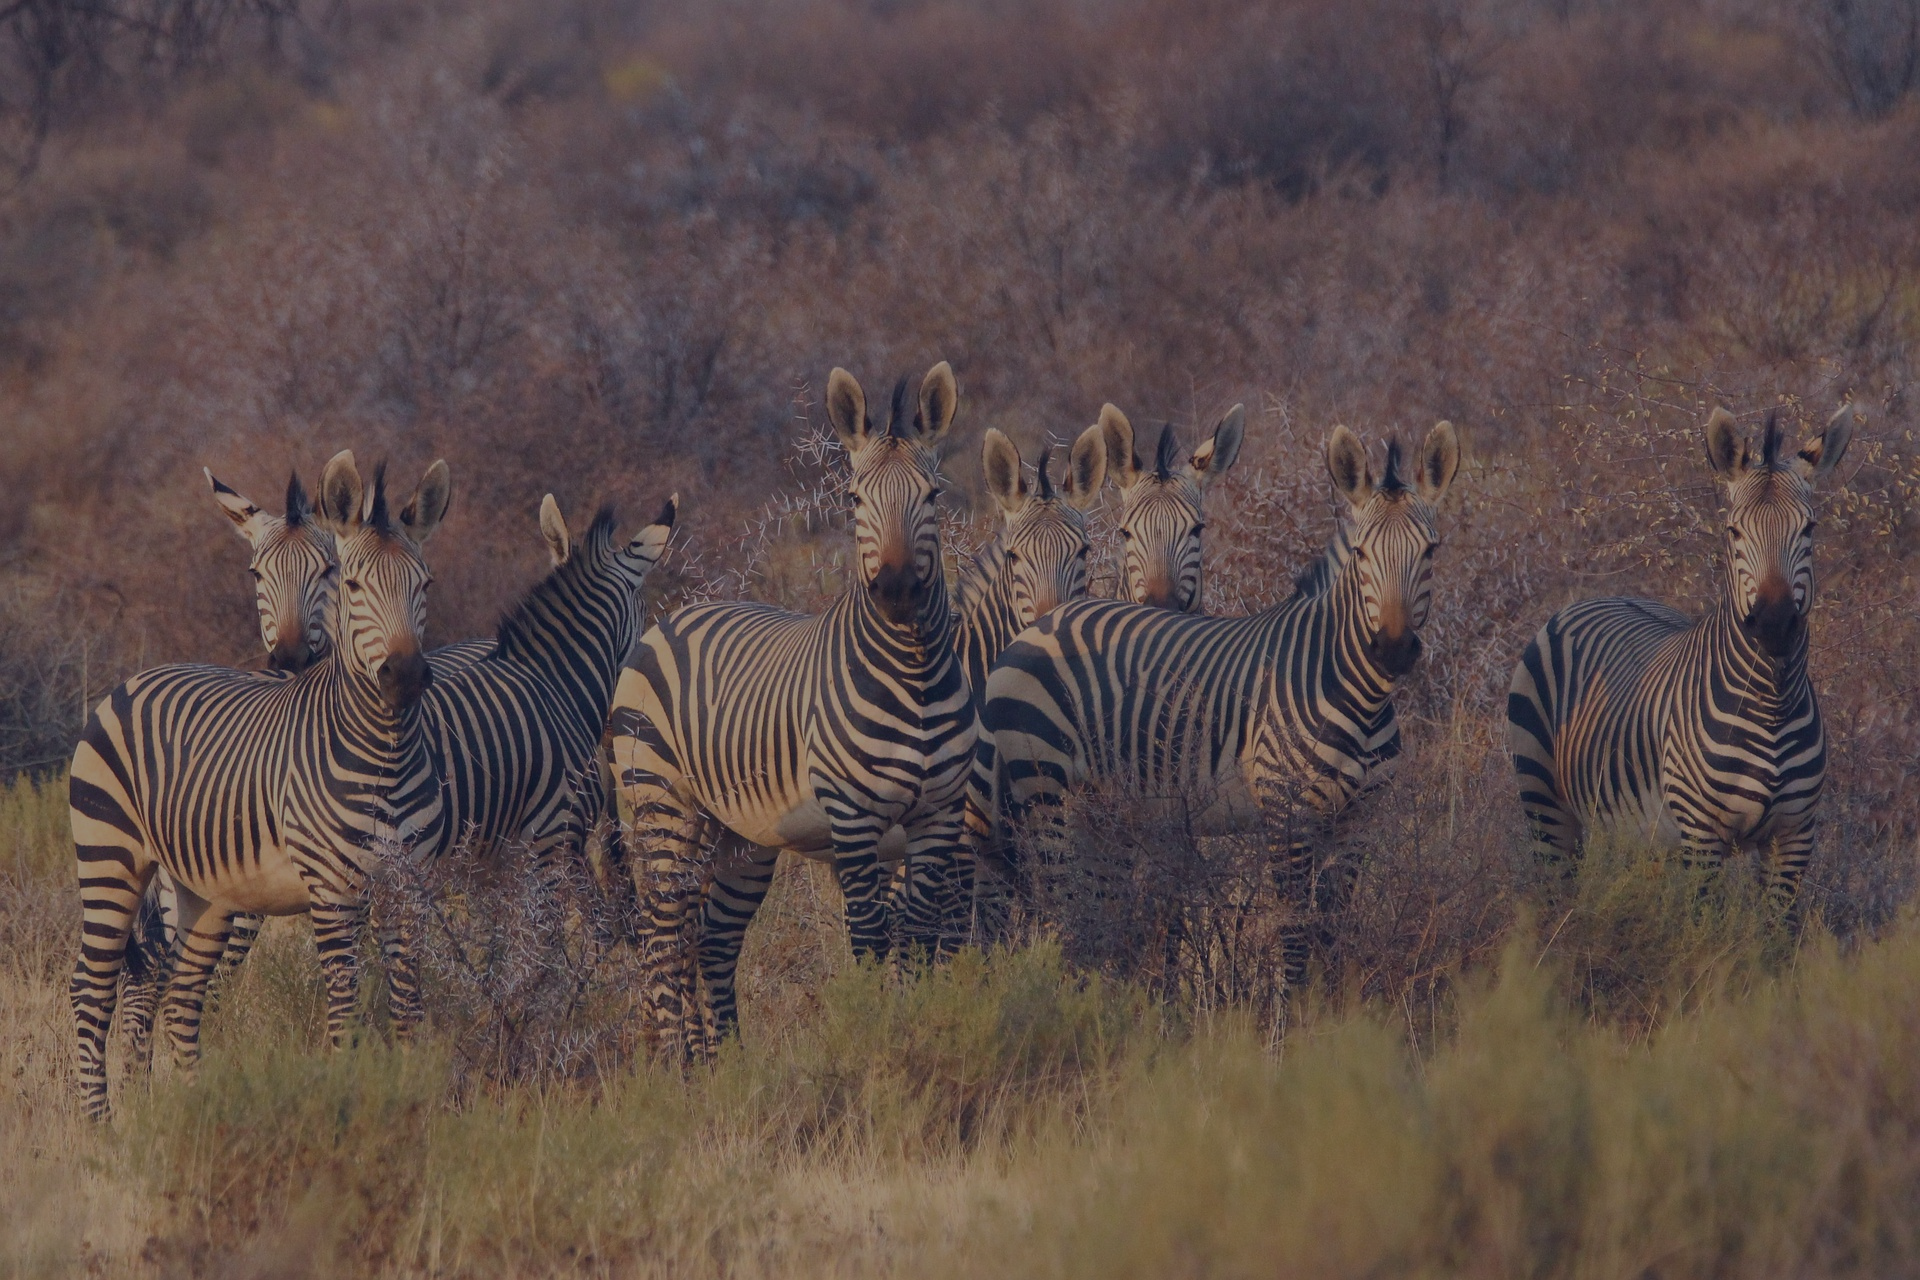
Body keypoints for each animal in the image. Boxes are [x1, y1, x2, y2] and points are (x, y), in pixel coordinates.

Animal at [69, 454, 451, 1119]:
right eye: (355, 586)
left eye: (424, 585)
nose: (404, 677)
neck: (386, 752)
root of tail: (135, 678)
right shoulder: (334, 892)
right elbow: (347, 1012)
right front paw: (348, 1104)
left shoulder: (410, 889)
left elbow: (408, 1010)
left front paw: (412, 1102)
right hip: (110, 860)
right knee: (93, 989)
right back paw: (100, 1126)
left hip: (204, 892)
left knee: (180, 996)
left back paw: (196, 1107)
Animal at [609, 362, 972, 1058]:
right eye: (854, 500)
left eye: (934, 497)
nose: (894, 590)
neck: (913, 673)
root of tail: (675, 617)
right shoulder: (854, 821)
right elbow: (870, 940)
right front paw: (875, 1039)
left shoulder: (940, 817)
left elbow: (915, 940)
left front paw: (913, 1027)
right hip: (661, 806)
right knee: (663, 942)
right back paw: (678, 1068)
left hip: (741, 836)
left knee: (711, 942)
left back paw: (726, 1064)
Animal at [1506, 405, 1854, 920]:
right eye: (1734, 531)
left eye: (1809, 529)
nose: (1774, 625)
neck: (1771, 701)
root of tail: (1604, 596)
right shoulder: (1702, 838)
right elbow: (1704, 932)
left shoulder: (1793, 837)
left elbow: (1773, 938)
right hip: (1545, 804)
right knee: (1558, 892)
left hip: (1636, 830)